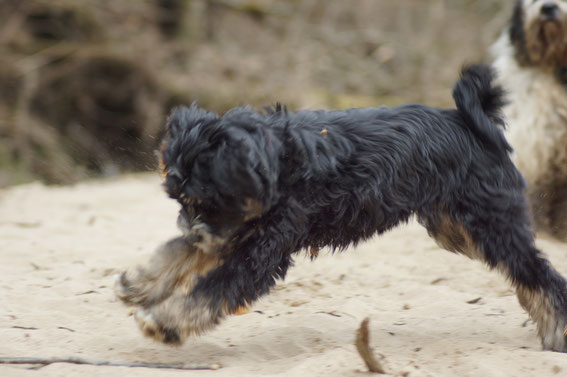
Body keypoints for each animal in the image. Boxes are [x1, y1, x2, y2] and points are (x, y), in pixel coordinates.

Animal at [114, 64, 567, 350]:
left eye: (209, 200)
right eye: (181, 200)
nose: (194, 227)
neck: (280, 160)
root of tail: (474, 123)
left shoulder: (260, 248)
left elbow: (210, 290)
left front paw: (164, 322)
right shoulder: (237, 234)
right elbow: (180, 252)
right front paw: (141, 282)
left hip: (488, 223)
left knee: (539, 273)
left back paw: (557, 332)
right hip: (456, 229)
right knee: (524, 272)